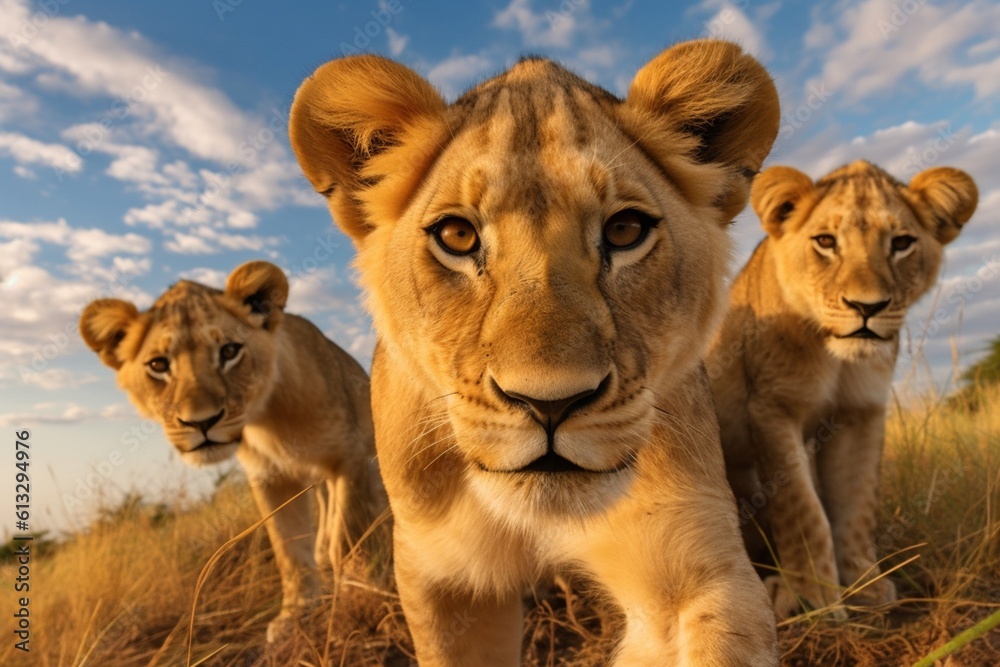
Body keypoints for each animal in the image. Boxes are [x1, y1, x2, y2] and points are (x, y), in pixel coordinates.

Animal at [79, 261, 386, 640]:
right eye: (159, 365)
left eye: (229, 352)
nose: (201, 422)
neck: (266, 419)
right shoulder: (271, 478)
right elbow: (288, 548)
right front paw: (296, 613)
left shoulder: (350, 457)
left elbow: (350, 534)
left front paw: (360, 595)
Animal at [707, 160, 978, 619]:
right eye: (825, 242)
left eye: (901, 243)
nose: (867, 307)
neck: (835, 356)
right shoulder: (772, 407)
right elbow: (802, 508)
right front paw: (810, 595)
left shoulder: (861, 412)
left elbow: (855, 503)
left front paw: (863, 585)